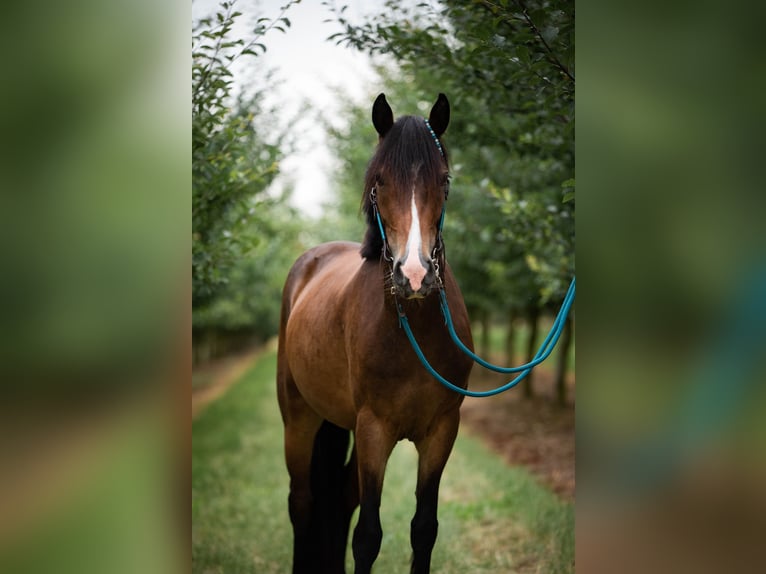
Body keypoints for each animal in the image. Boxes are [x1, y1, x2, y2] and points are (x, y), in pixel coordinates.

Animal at [278, 92, 474, 572]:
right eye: (379, 183)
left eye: (445, 181)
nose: (415, 275)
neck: (414, 335)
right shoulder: (374, 430)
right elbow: (368, 536)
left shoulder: (442, 430)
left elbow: (424, 529)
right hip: (299, 418)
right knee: (302, 502)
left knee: (340, 500)